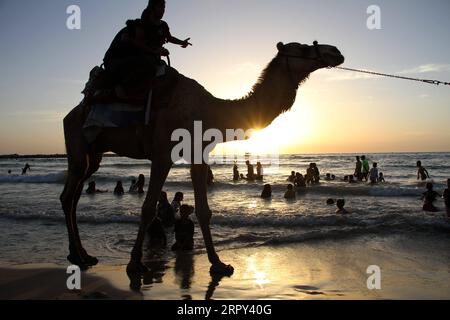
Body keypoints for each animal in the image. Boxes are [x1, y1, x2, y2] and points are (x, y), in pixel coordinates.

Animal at [59, 40, 342, 290]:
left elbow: (204, 211)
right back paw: (78, 255)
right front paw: (135, 263)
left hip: (93, 155)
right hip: (77, 144)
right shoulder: (162, 154)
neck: (210, 111)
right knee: (68, 195)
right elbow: (148, 208)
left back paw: (82, 254)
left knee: (73, 196)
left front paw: (219, 264)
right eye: (302, 48)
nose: (335, 52)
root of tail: (71, 112)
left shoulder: (199, 154)